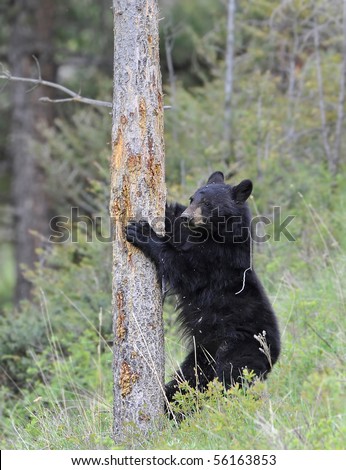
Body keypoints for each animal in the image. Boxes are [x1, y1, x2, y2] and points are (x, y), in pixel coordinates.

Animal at [125, 172, 280, 404]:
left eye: (207, 204)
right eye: (192, 199)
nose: (187, 217)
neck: (214, 234)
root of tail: (275, 355)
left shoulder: (216, 260)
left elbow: (183, 267)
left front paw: (140, 231)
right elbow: (177, 231)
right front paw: (168, 209)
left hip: (240, 348)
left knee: (230, 378)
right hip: (202, 357)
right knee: (186, 383)